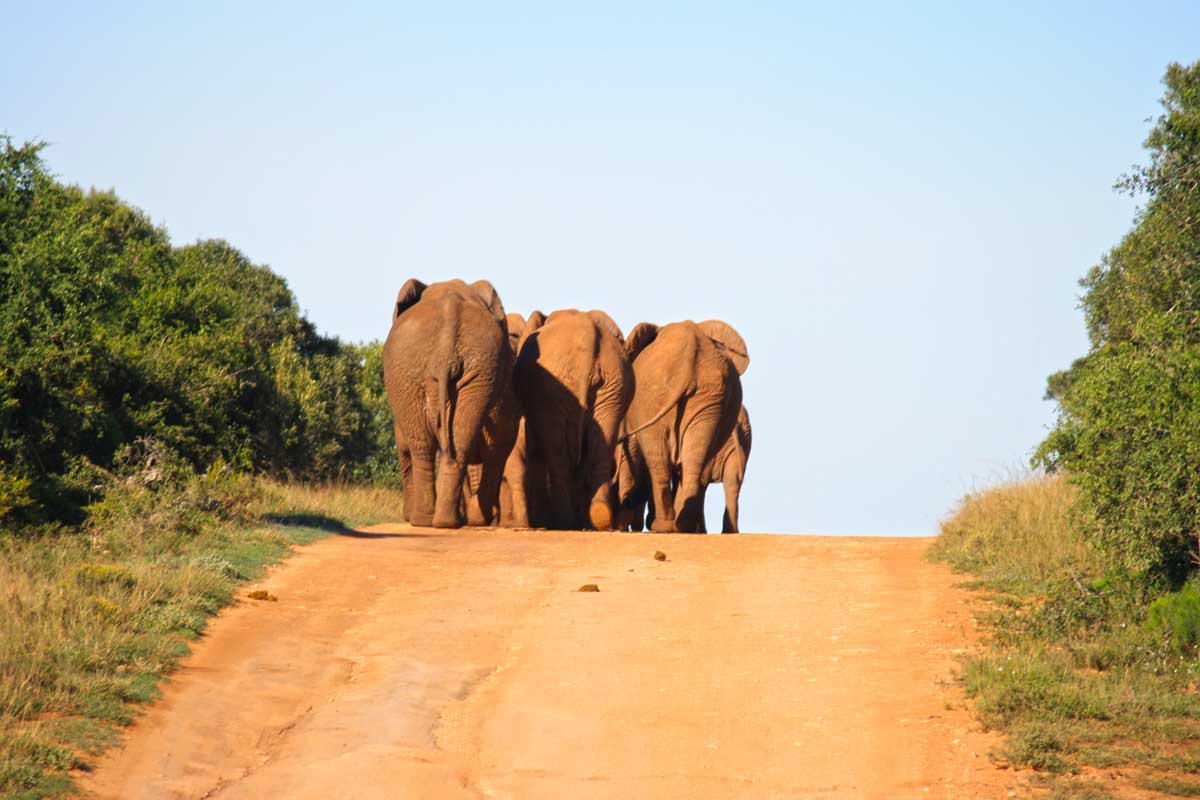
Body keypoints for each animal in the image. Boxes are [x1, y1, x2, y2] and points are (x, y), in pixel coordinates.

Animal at [384, 278, 511, 527]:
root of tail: (446, 351)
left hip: (415, 374)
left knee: (421, 444)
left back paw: (424, 520)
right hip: (477, 367)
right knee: (458, 440)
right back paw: (446, 522)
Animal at [511, 309, 633, 527]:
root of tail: (590, 337)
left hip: (554, 389)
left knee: (556, 451)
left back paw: (563, 521)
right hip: (615, 381)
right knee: (601, 445)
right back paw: (598, 517)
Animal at [614, 316, 744, 532]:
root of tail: (689, 360)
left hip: (656, 397)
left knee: (658, 458)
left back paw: (663, 526)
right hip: (706, 397)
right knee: (694, 459)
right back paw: (682, 524)